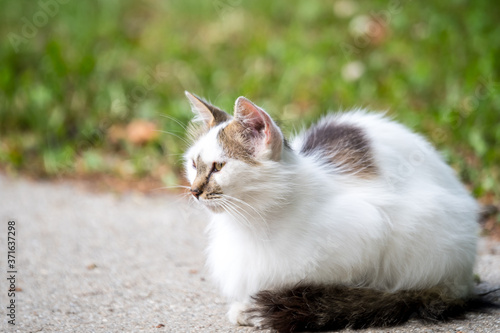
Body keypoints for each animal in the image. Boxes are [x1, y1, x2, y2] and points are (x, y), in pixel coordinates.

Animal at [183, 90, 480, 330]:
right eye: (194, 164)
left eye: (218, 167)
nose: (194, 191)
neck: (252, 224)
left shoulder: (372, 229)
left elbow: (343, 285)